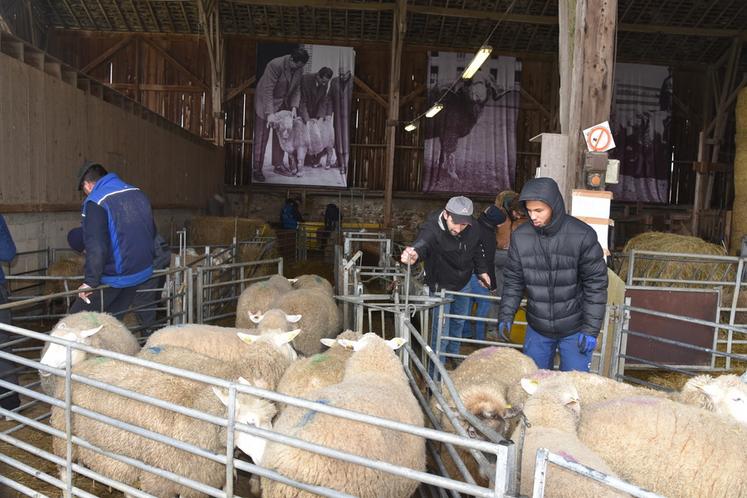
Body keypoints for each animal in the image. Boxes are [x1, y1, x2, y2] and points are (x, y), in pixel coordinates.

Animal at [49, 350, 278, 498]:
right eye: (250, 422)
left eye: (272, 418)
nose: (269, 463)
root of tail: (81, 364)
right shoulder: (158, 479)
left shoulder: (195, 482)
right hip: (62, 438)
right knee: (64, 473)